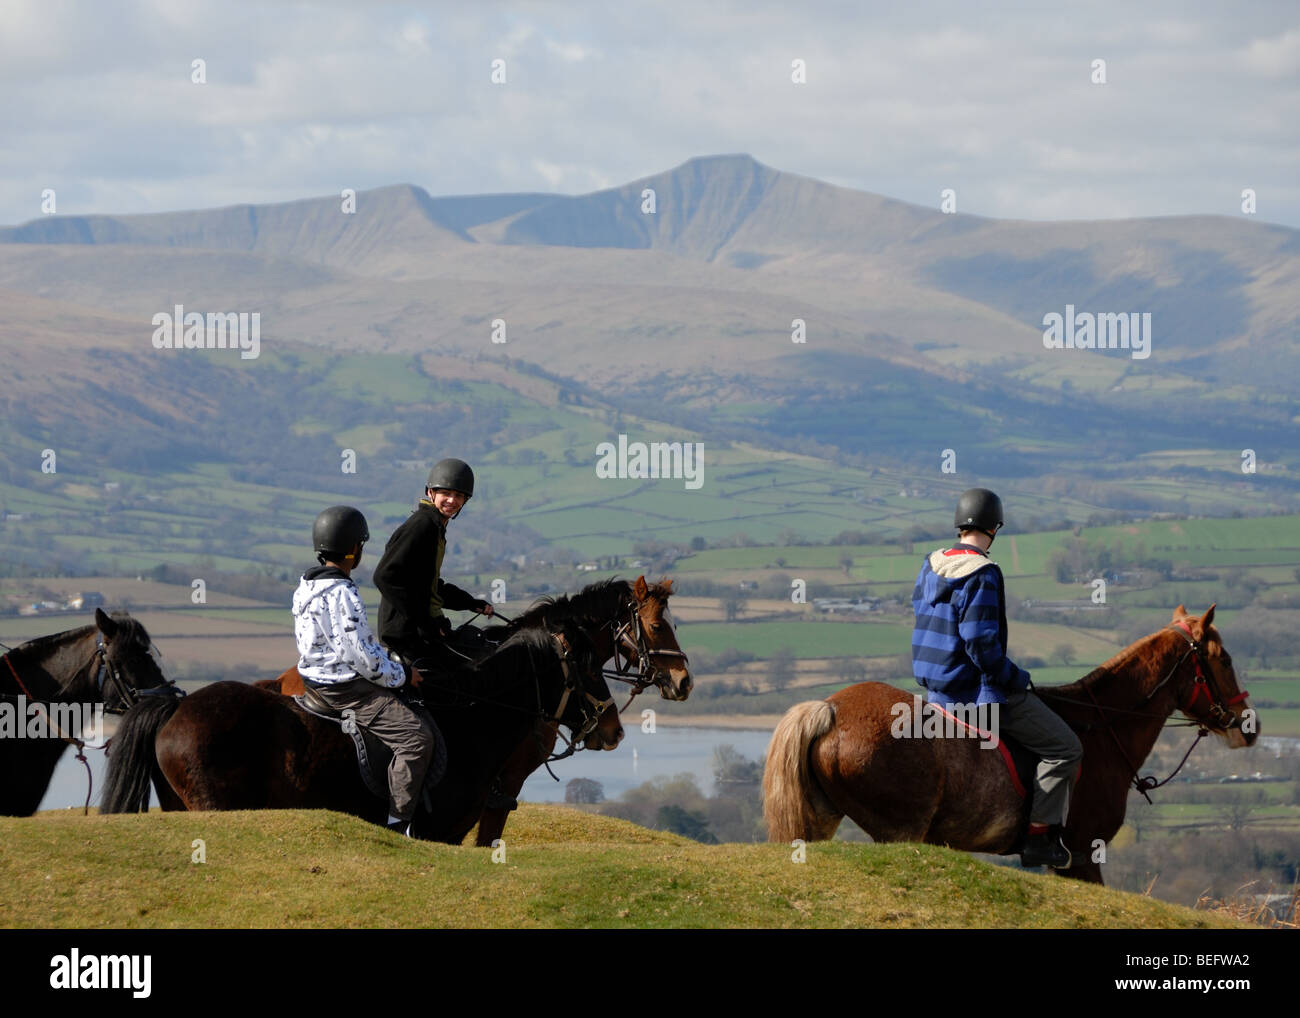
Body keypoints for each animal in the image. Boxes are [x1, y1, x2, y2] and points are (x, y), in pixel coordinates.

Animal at [764, 605, 1253, 884]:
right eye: (1224, 659)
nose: (1250, 725)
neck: (1100, 725)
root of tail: (830, 707)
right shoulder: (1082, 855)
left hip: (823, 818)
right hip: (901, 829)